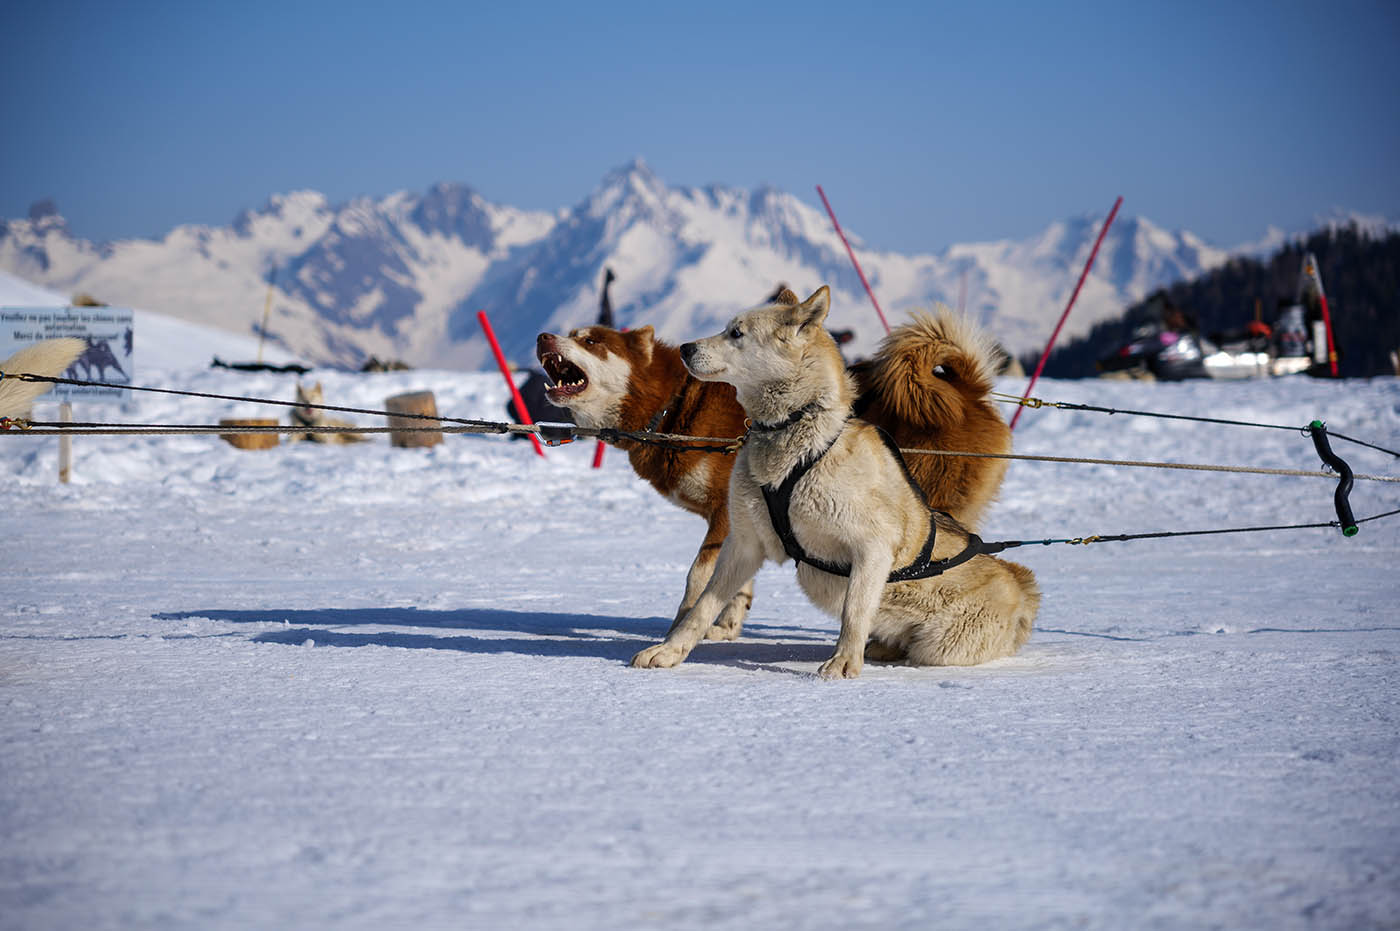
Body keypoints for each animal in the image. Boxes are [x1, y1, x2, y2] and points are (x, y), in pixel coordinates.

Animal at [534, 288, 1008, 638]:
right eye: (573, 333)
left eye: (591, 341)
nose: (542, 337)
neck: (672, 405)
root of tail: (968, 391)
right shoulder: (744, 520)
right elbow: (736, 584)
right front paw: (725, 625)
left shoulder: (723, 515)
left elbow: (695, 580)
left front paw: (681, 626)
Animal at [630, 287, 1036, 680]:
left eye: (737, 332)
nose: (685, 347)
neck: (792, 432)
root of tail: (1023, 585)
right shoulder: (743, 544)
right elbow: (702, 607)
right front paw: (669, 651)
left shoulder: (872, 548)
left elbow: (853, 611)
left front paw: (843, 662)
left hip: (940, 645)